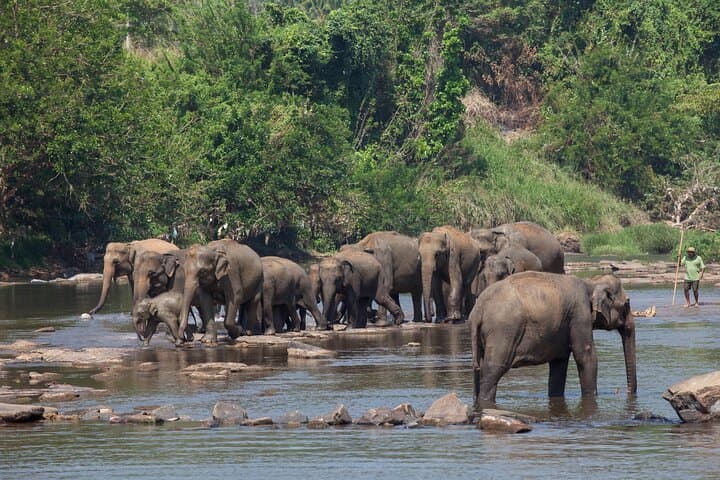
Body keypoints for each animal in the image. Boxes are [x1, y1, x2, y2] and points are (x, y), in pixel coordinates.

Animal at [470, 271, 637, 407]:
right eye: (627, 303)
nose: (624, 391)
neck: (591, 282)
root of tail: (478, 309)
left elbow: (559, 363)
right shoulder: (579, 313)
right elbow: (585, 355)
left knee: (479, 368)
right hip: (503, 332)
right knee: (493, 370)